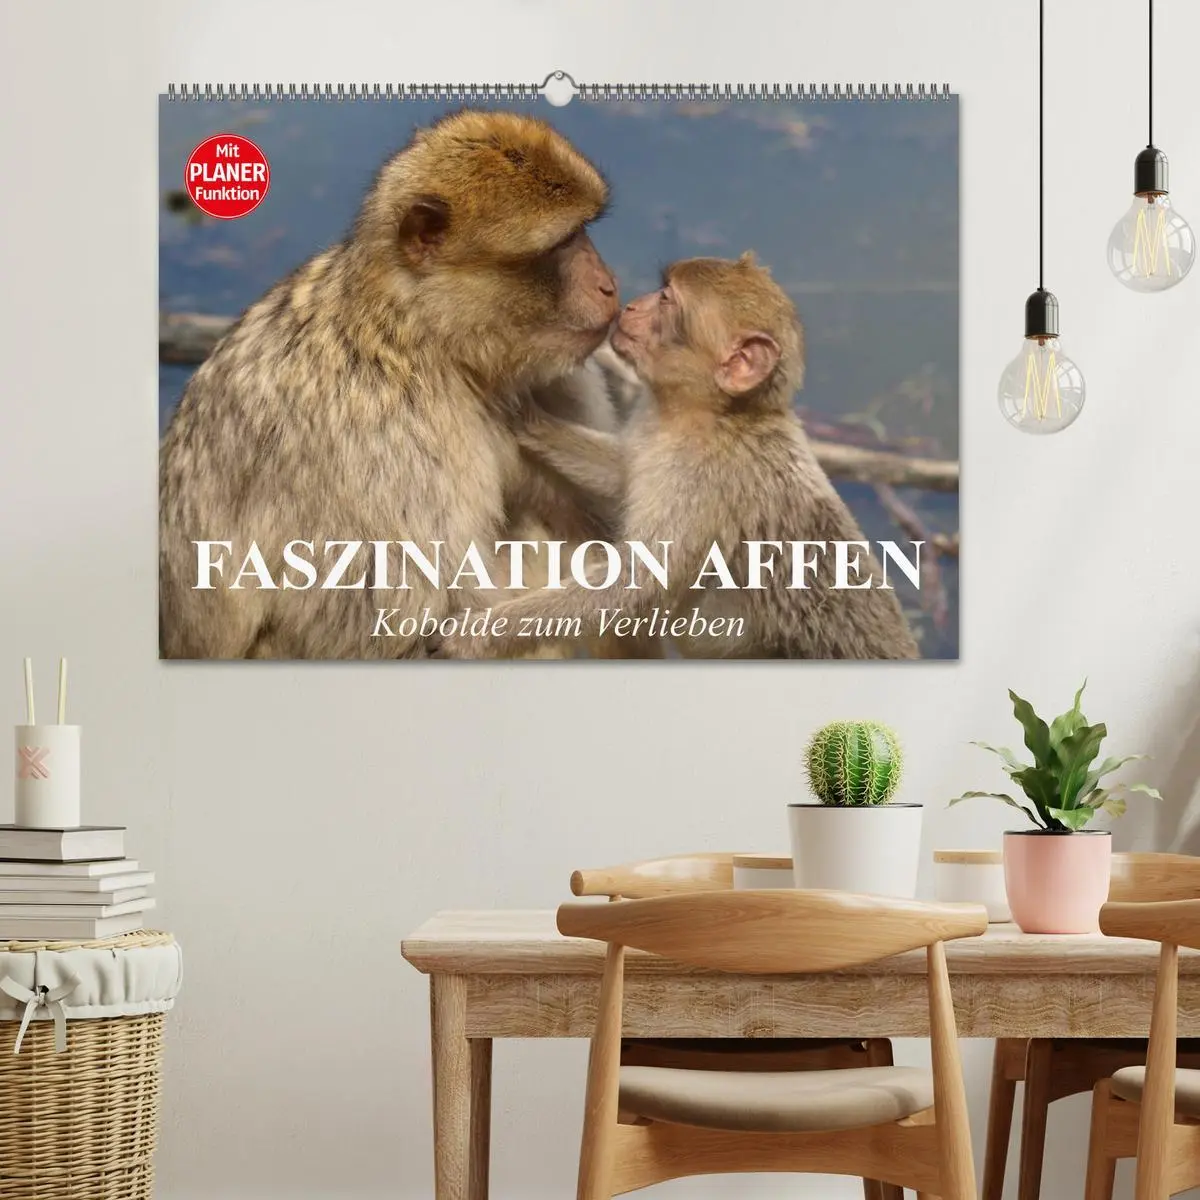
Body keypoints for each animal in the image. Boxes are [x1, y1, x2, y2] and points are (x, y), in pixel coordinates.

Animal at [159, 109, 627, 660]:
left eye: (584, 231)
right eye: (562, 243)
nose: (609, 285)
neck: (424, 338)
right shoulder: (388, 439)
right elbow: (393, 628)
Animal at [434, 253, 922, 661]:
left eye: (667, 300)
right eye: (661, 289)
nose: (630, 305)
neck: (708, 415)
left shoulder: (702, 479)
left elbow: (636, 583)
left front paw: (480, 634)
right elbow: (623, 472)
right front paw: (526, 417)